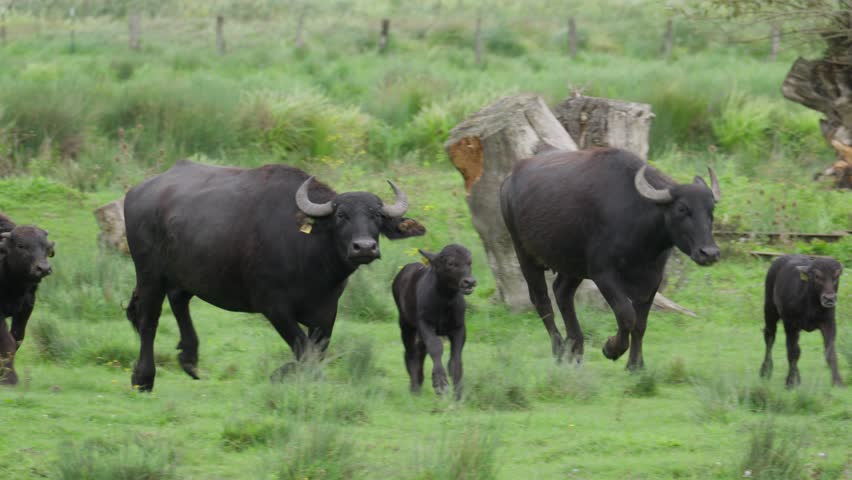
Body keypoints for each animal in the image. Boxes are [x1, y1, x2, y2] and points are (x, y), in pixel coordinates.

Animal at [0, 212, 55, 384]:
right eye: (21, 246)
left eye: (46, 247)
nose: (43, 268)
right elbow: (7, 342)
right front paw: (10, 379)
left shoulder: (26, 308)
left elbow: (17, 338)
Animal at [125, 159, 424, 392]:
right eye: (341, 215)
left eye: (376, 216)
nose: (364, 247)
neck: (310, 257)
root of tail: (136, 193)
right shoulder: (274, 307)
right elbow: (303, 348)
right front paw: (285, 374)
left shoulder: (327, 311)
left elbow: (316, 351)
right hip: (149, 273)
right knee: (148, 319)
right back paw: (143, 378)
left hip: (185, 273)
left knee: (178, 300)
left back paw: (189, 358)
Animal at [392, 244, 476, 398]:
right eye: (450, 263)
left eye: (469, 262)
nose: (470, 282)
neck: (445, 301)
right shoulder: (425, 323)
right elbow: (436, 347)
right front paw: (440, 383)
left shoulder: (459, 327)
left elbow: (455, 359)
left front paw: (458, 394)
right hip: (405, 323)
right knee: (410, 352)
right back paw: (414, 387)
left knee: (420, 350)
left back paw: (419, 381)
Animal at [502, 148, 724, 370]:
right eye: (682, 209)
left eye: (711, 210)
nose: (709, 253)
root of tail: (508, 180)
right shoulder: (603, 275)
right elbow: (627, 315)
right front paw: (611, 348)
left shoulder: (653, 279)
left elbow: (640, 324)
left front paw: (636, 365)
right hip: (525, 255)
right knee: (542, 301)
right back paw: (559, 351)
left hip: (573, 266)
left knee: (562, 293)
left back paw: (575, 348)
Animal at [764, 255, 844, 386]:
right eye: (817, 276)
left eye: (836, 276)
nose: (829, 299)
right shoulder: (790, 324)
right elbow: (793, 352)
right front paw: (790, 382)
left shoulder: (829, 322)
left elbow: (830, 351)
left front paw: (837, 382)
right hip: (770, 310)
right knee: (769, 337)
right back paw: (765, 371)